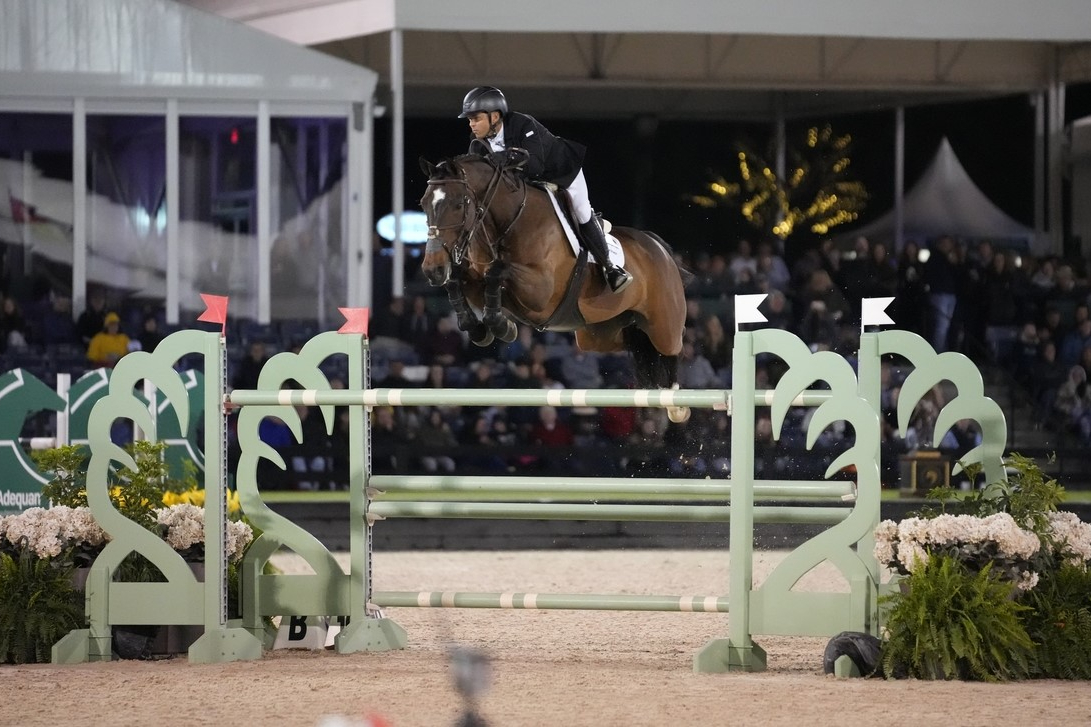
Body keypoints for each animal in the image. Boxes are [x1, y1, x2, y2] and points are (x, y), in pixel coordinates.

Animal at [419, 153, 692, 422]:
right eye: (423, 204)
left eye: (458, 204)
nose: (432, 269)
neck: (509, 222)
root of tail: (660, 248)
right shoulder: (476, 282)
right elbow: (458, 281)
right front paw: (480, 328)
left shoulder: (539, 291)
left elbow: (496, 271)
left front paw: (501, 326)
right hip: (599, 333)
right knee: (637, 344)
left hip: (662, 325)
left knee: (670, 349)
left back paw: (677, 405)